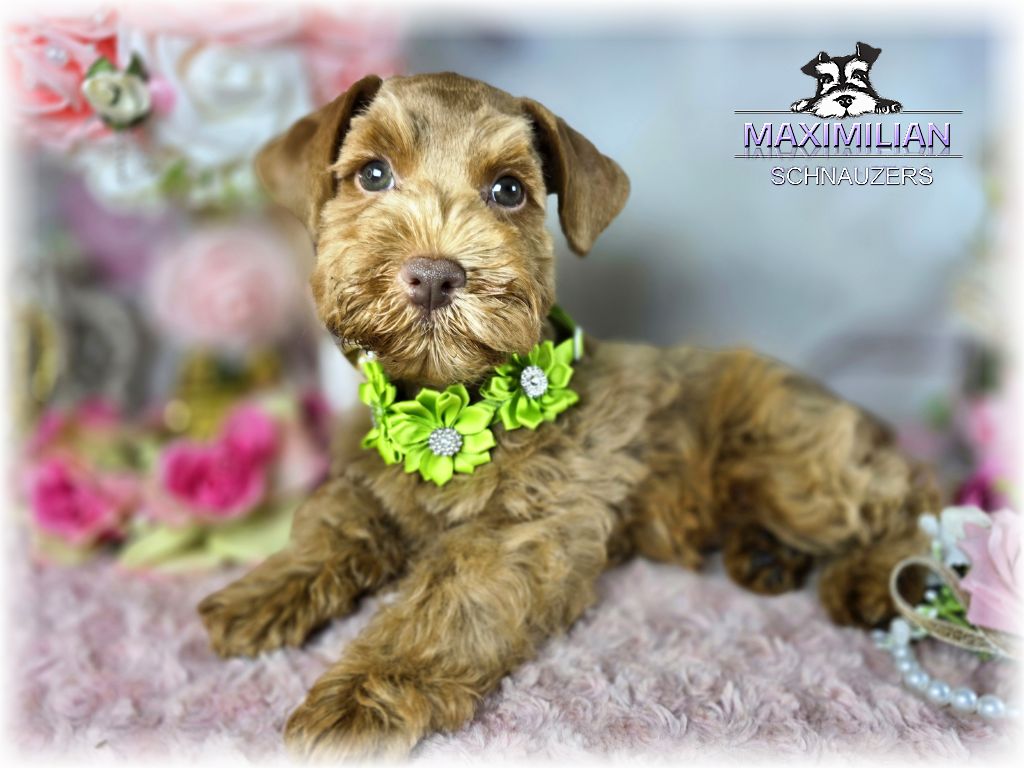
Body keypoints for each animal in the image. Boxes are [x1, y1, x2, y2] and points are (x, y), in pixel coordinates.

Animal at [198, 72, 938, 759]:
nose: (435, 274)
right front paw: (258, 594)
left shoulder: (517, 535)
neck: (446, 408)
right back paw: (764, 553)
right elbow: (329, 527)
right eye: (373, 173)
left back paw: (876, 578)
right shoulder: (365, 483)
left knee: (917, 503)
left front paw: (360, 697)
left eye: (508, 190)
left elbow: (440, 609)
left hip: (791, 465)